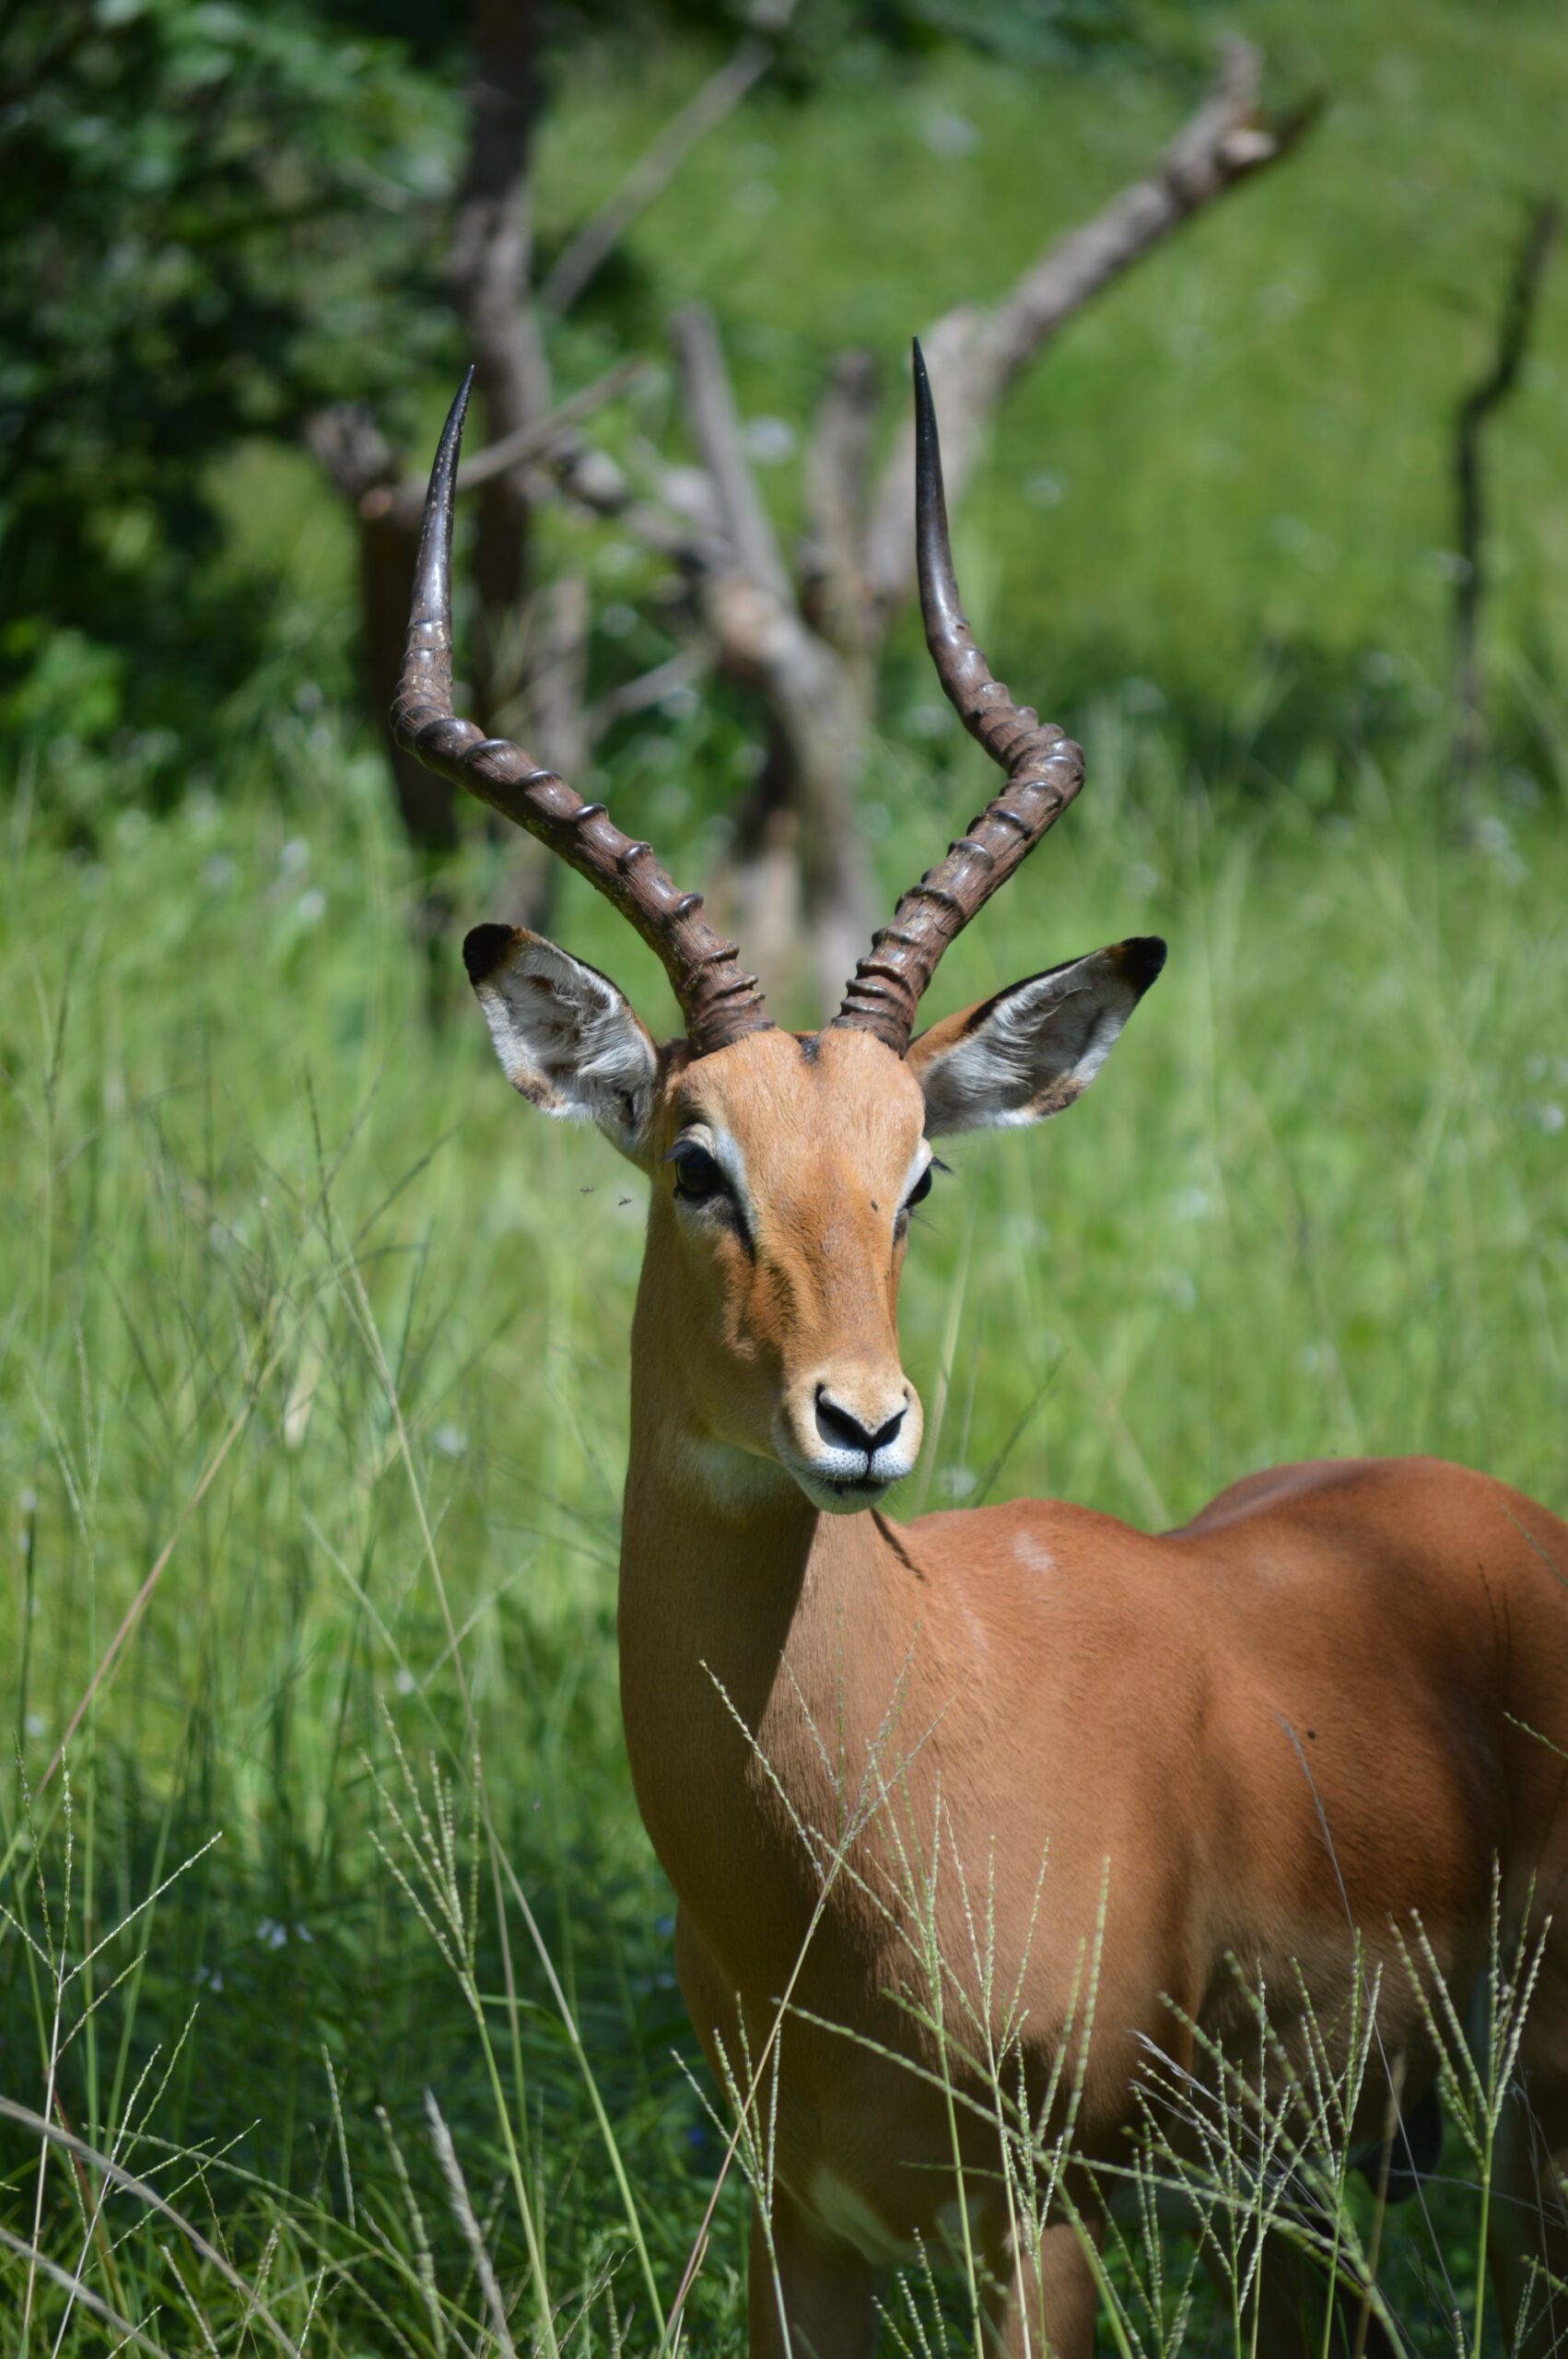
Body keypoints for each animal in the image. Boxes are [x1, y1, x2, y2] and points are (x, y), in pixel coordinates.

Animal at [392, 350, 1568, 2357]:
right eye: (694, 1159)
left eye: (915, 1174)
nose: (859, 1422)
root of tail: (1498, 1514)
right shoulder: (803, 2223)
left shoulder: (1044, 2216)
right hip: (1300, 2190)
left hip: (1518, 2122)